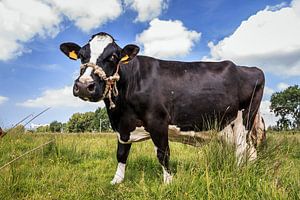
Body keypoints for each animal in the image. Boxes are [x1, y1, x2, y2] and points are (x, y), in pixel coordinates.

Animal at [59, 32, 264, 184]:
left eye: (113, 57)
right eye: (81, 56)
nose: (84, 85)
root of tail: (251, 68)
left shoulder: (158, 121)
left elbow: (163, 153)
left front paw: (168, 182)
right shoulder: (123, 127)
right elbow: (121, 153)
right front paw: (116, 180)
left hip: (243, 120)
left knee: (242, 149)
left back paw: (239, 173)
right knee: (250, 150)